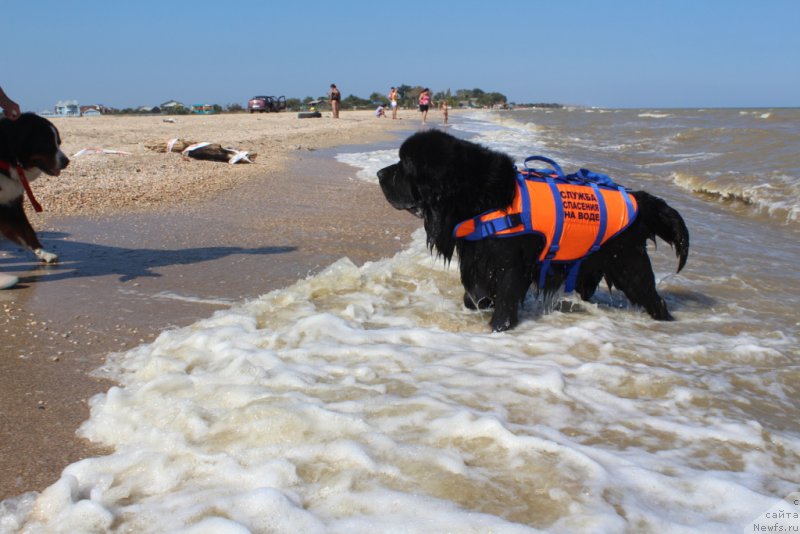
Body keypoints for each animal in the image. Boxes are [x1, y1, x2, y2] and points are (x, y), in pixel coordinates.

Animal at [0, 112, 68, 266]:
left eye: (58, 142)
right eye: (47, 144)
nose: (67, 161)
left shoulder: (10, 203)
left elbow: (28, 232)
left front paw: (44, 254)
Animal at [376, 130, 688, 330]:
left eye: (405, 164)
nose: (379, 173)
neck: (479, 197)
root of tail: (640, 199)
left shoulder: (511, 264)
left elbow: (505, 299)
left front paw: (499, 326)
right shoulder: (478, 260)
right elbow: (475, 293)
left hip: (629, 265)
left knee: (653, 298)